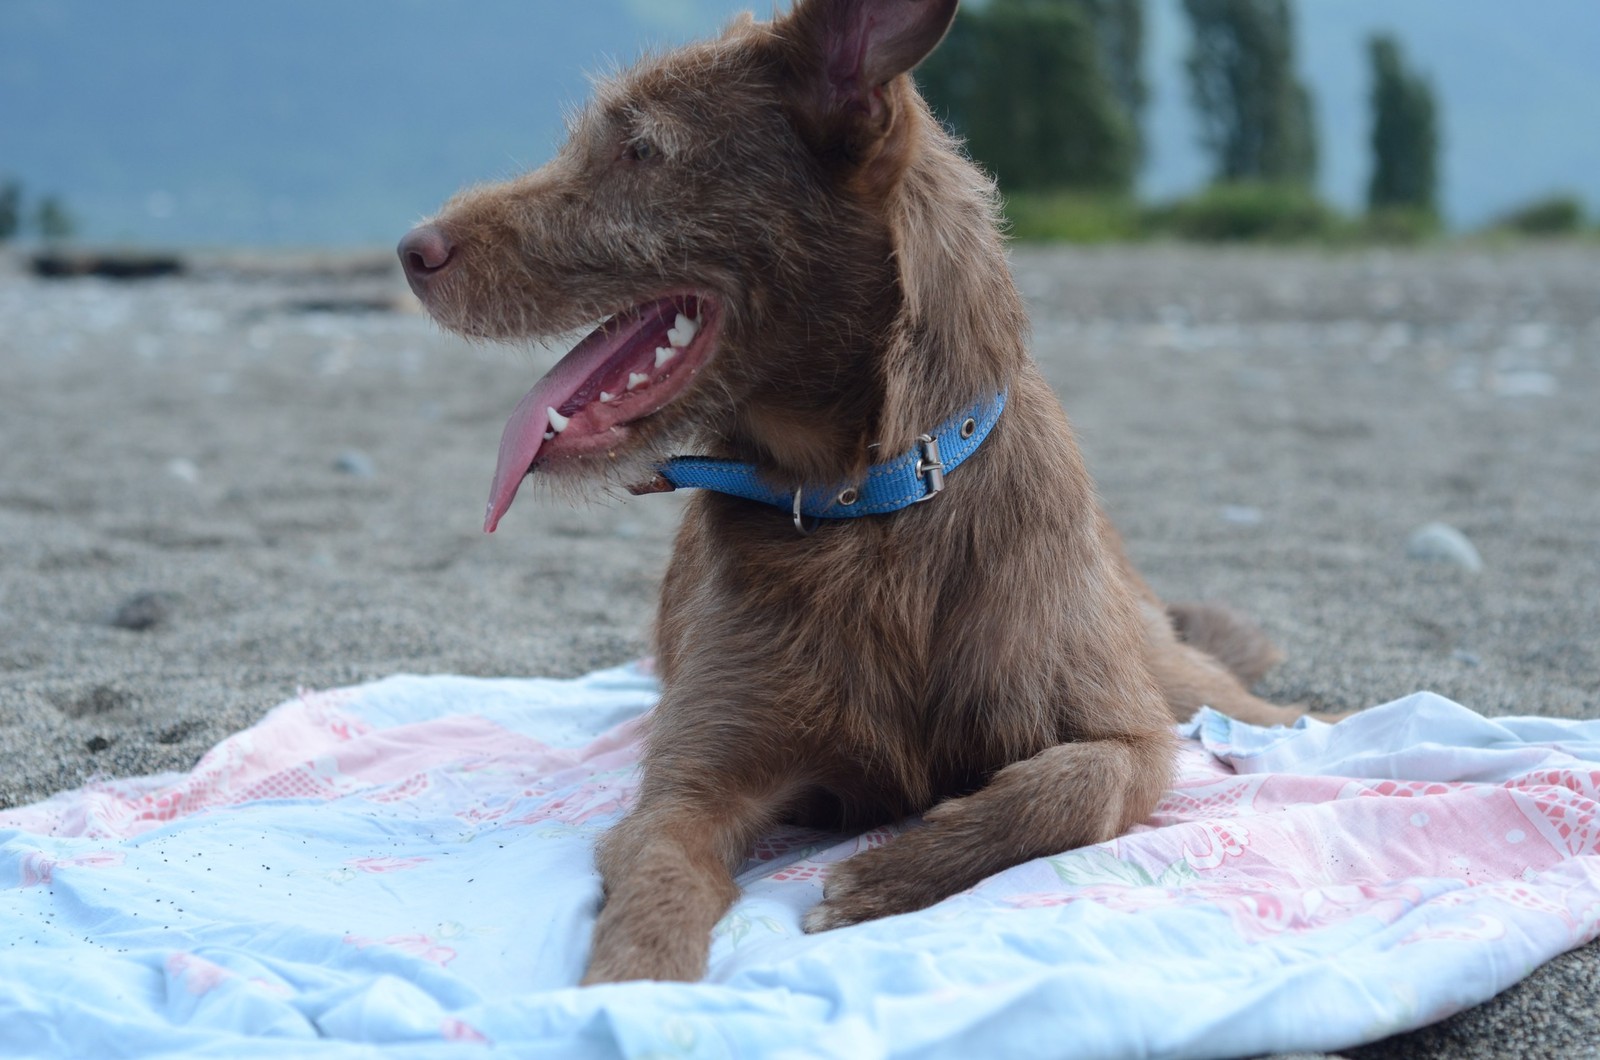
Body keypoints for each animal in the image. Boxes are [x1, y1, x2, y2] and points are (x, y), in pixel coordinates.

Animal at [396, 0, 1312, 986]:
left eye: (641, 149)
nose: (412, 249)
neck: (864, 505)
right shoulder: (688, 786)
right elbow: (656, 885)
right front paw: (626, 992)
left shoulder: (1126, 731)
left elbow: (1078, 784)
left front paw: (892, 873)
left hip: (1164, 663)